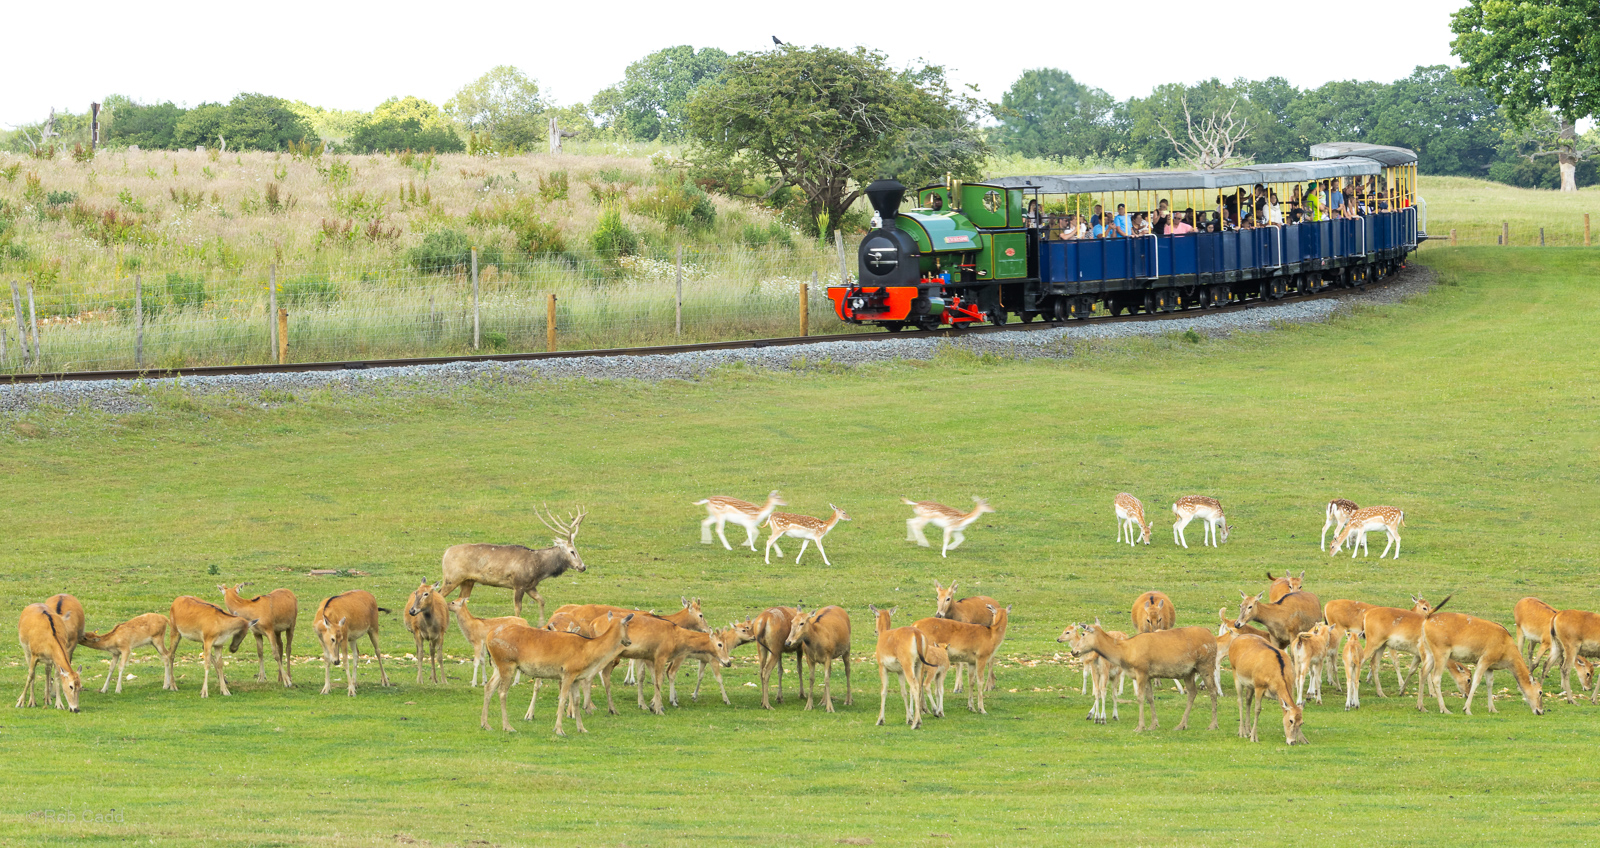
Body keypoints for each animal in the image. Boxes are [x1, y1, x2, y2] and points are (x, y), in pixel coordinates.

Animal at [437, 505, 587, 625]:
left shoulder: (530, 586)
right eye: (572, 551)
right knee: (439, 594)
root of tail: (445, 554)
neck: (539, 568)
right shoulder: (518, 583)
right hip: (452, 577)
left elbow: (542, 600)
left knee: (461, 598)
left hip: (468, 580)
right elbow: (518, 607)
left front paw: (541, 624)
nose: (583, 567)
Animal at [480, 612, 634, 736]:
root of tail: (488, 637)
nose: (629, 641)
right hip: (506, 663)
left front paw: (582, 728)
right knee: (502, 692)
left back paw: (485, 725)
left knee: (489, 687)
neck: (588, 652)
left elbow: (576, 700)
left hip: (497, 665)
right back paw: (508, 726)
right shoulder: (568, 672)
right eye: (627, 625)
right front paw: (559, 730)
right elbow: (562, 698)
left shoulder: (577, 676)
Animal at [1062, 621, 1218, 733]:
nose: (1073, 651)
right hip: (1189, 671)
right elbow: (1150, 698)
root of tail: (1211, 635)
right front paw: (1153, 725)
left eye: (1083, 634)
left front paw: (1139, 727)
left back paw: (1212, 725)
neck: (1125, 653)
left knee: (1213, 691)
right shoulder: (1148, 674)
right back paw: (1181, 725)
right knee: (1192, 692)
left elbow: (1140, 698)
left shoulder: (1141, 670)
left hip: (1206, 663)